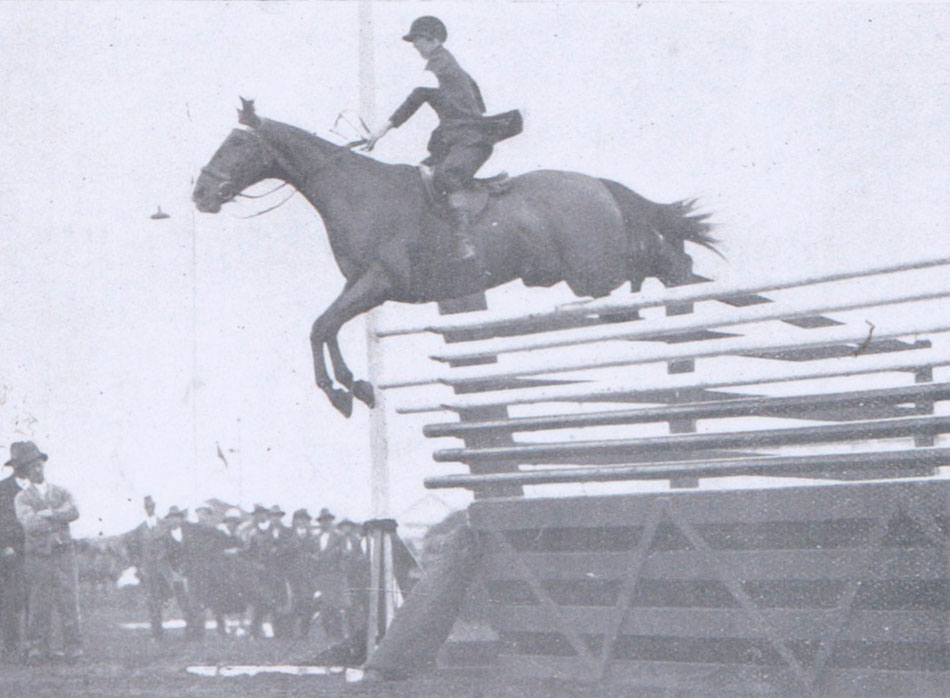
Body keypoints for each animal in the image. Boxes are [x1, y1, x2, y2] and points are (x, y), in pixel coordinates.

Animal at [193, 98, 712, 414]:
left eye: (237, 143)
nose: (200, 195)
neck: (357, 191)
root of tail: (598, 184)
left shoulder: (380, 282)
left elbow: (323, 325)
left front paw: (344, 388)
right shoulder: (359, 285)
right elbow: (324, 326)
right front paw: (348, 388)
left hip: (594, 272)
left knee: (659, 261)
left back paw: (691, 287)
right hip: (591, 275)